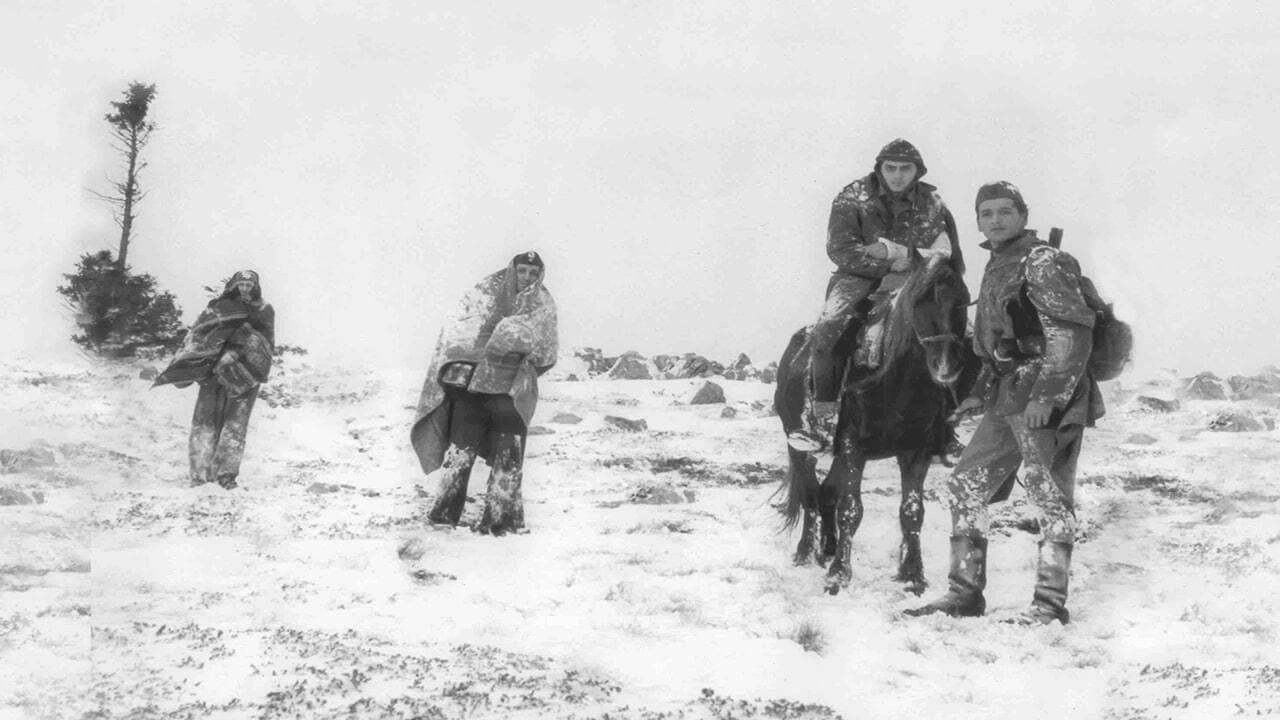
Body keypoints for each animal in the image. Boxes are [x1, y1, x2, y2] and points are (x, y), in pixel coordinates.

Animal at [773, 256, 972, 594]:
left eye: (963, 300)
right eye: (920, 301)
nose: (945, 366)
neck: (896, 379)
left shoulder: (916, 451)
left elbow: (912, 511)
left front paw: (912, 575)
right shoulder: (853, 448)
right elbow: (851, 510)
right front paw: (839, 574)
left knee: (826, 493)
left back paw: (828, 548)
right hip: (800, 446)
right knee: (811, 494)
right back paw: (806, 551)